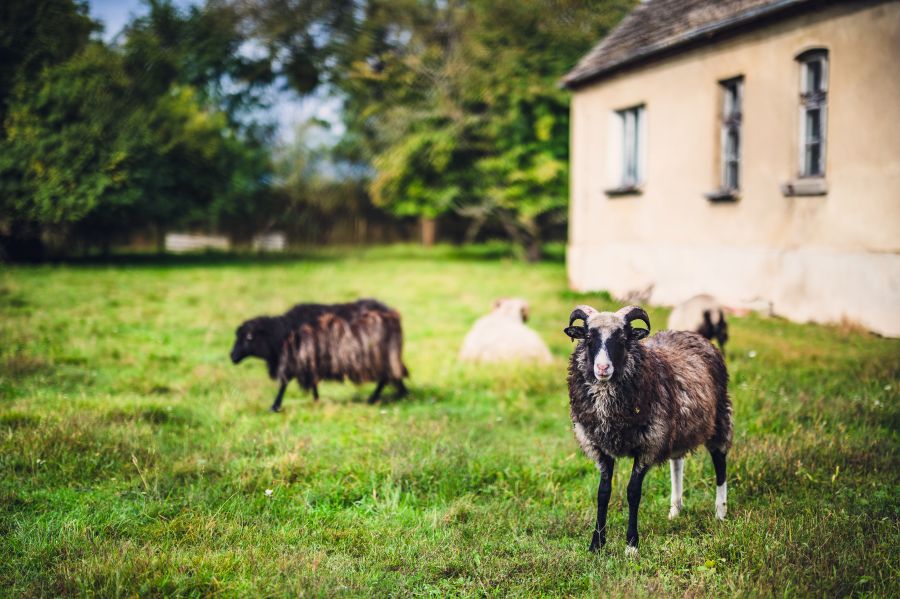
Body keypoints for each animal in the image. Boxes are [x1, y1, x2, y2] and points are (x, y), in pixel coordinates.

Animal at [230, 299, 408, 411]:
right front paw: (316, 400)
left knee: (386, 377)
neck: (282, 335)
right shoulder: (308, 361)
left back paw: (377, 398)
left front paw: (274, 406)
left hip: (380, 355)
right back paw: (401, 393)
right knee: (392, 376)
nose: (232, 356)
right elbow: (312, 383)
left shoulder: (297, 360)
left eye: (248, 337)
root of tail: (392, 314)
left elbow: (284, 384)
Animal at [564, 304, 732, 556]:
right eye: (589, 339)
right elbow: (603, 493)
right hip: (676, 431)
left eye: (623, 339)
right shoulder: (599, 447)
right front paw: (597, 544)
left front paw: (631, 545)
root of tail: (692, 334)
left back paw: (720, 512)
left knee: (720, 463)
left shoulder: (649, 444)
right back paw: (675, 510)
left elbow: (633, 493)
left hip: (719, 418)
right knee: (677, 463)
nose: (602, 368)